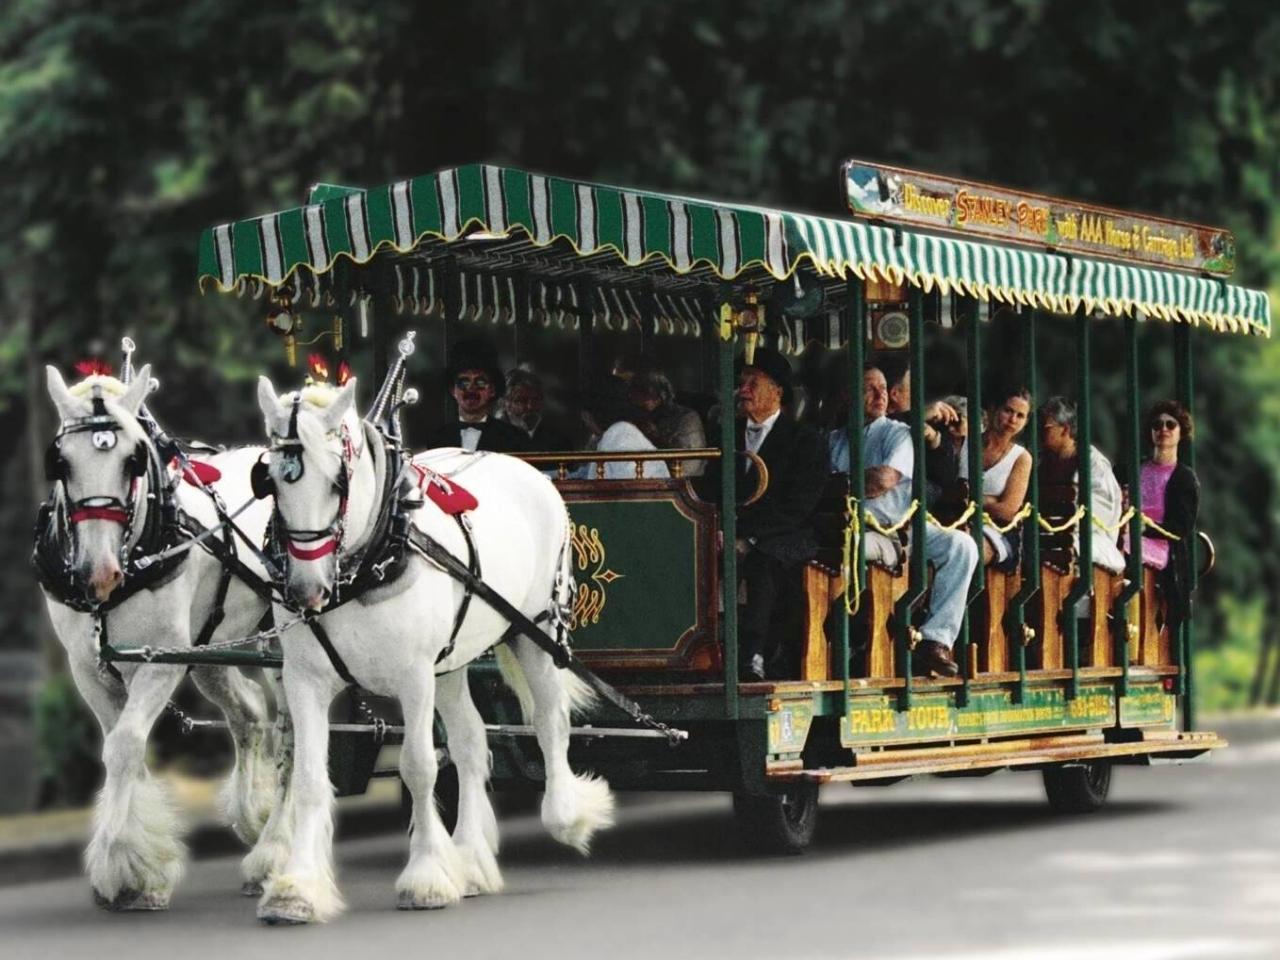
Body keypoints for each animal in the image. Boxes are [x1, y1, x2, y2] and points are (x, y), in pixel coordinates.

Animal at [39, 366, 290, 909]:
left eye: (133, 461)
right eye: (60, 463)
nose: (98, 573)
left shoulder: (159, 662)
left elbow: (126, 746)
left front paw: (124, 868)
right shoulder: (89, 668)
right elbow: (120, 748)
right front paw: (140, 864)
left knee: (293, 731)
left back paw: (275, 849)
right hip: (210, 651)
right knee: (250, 714)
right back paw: (255, 820)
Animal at [253, 375, 614, 924]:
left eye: (337, 482)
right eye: (270, 480)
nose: (306, 590)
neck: (371, 556)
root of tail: (519, 464)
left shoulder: (414, 676)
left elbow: (419, 766)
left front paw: (424, 877)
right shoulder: (304, 679)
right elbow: (311, 776)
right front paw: (296, 889)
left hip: (535, 633)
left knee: (550, 721)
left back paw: (567, 816)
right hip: (453, 663)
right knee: (471, 742)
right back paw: (469, 860)